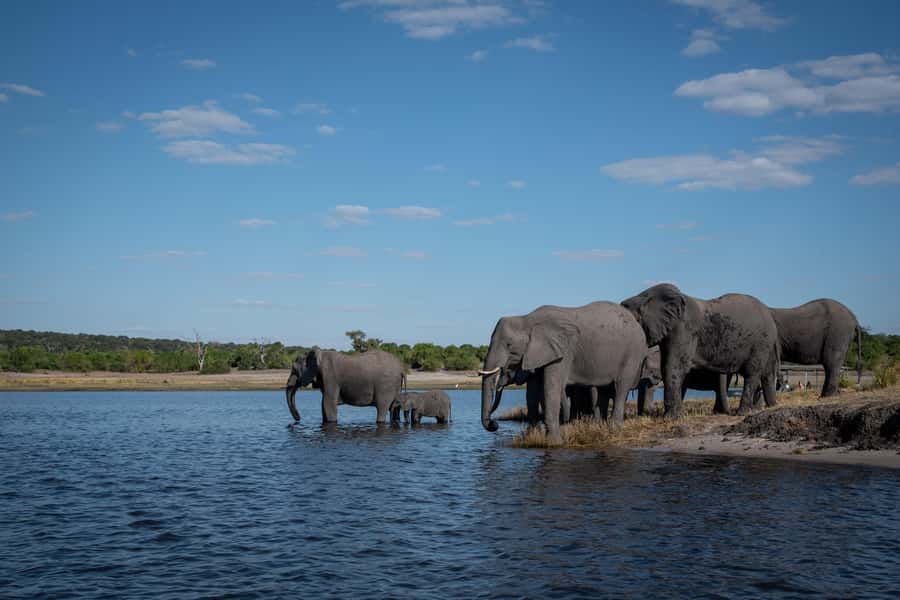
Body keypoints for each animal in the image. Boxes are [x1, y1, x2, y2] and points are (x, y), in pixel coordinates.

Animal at [479, 301, 648, 443]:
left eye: (509, 344)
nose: (494, 424)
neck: (527, 319)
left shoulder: (563, 351)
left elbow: (550, 387)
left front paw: (553, 443)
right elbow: (534, 391)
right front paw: (532, 437)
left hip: (632, 353)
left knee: (621, 387)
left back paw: (614, 430)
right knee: (604, 389)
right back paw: (600, 428)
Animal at [621, 284, 780, 418]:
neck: (644, 297)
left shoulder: (684, 328)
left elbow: (673, 367)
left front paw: (671, 418)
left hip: (760, 342)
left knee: (751, 373)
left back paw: (742, 413)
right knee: (766, 373)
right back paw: (771, 406)